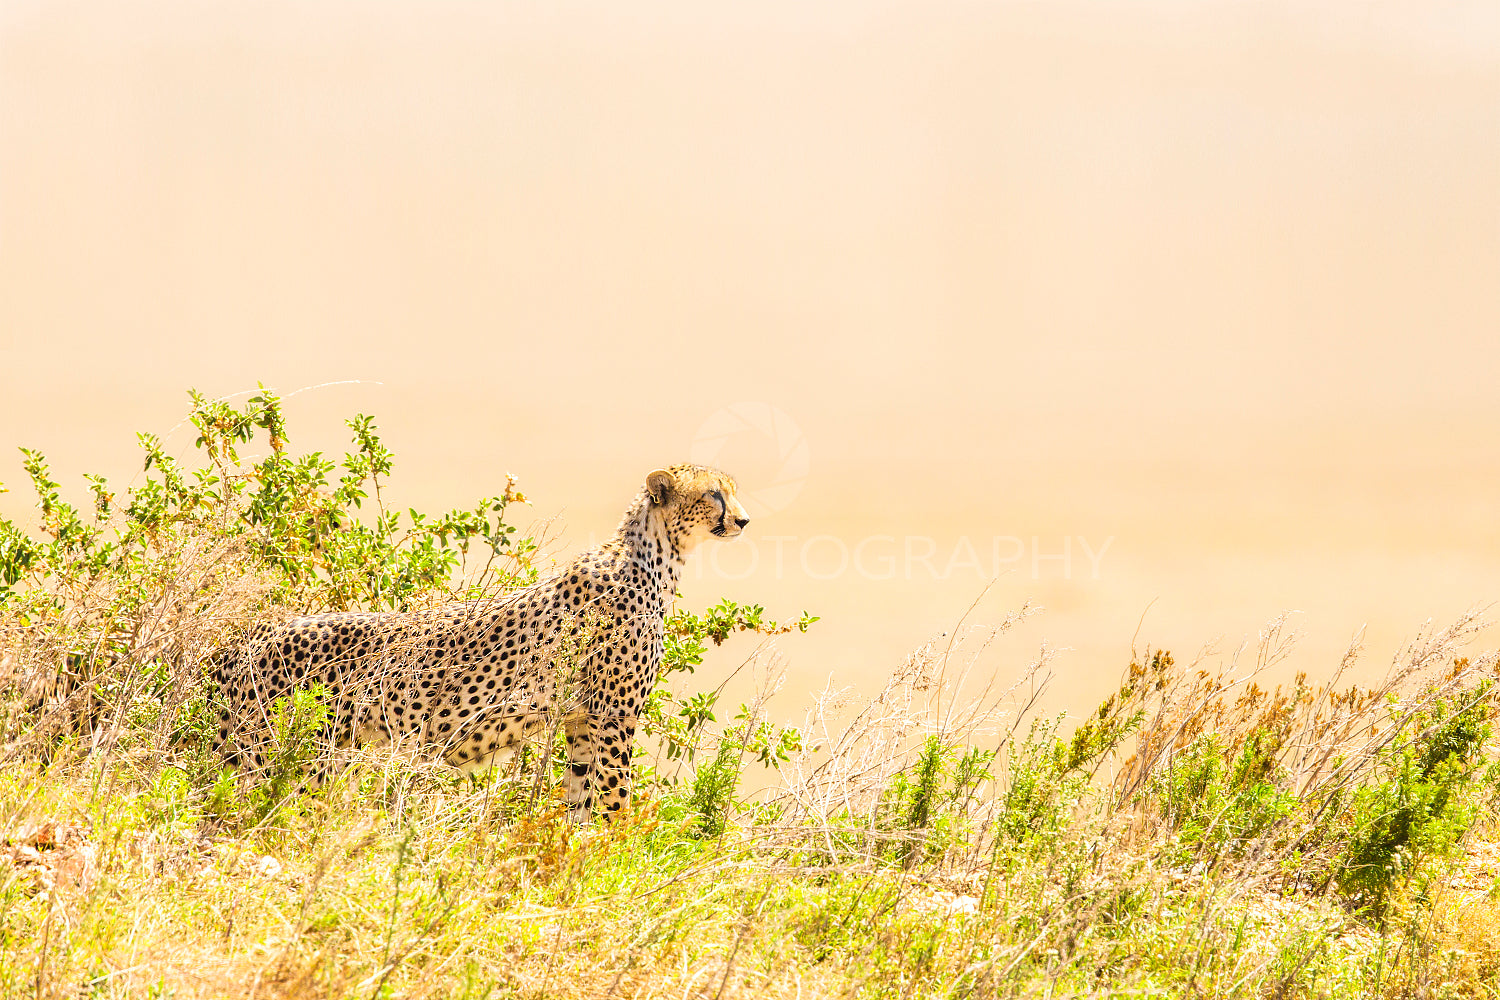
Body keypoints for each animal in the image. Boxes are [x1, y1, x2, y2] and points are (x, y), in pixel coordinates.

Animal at [214, 464, 750, 815]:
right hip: (285, 759)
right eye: (714, 494)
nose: (743, 520)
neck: (655, 558)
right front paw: (613, 862)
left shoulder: (581, 721)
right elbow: (616, 800)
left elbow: (581, 801)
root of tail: (250, 637)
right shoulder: (612, 715)